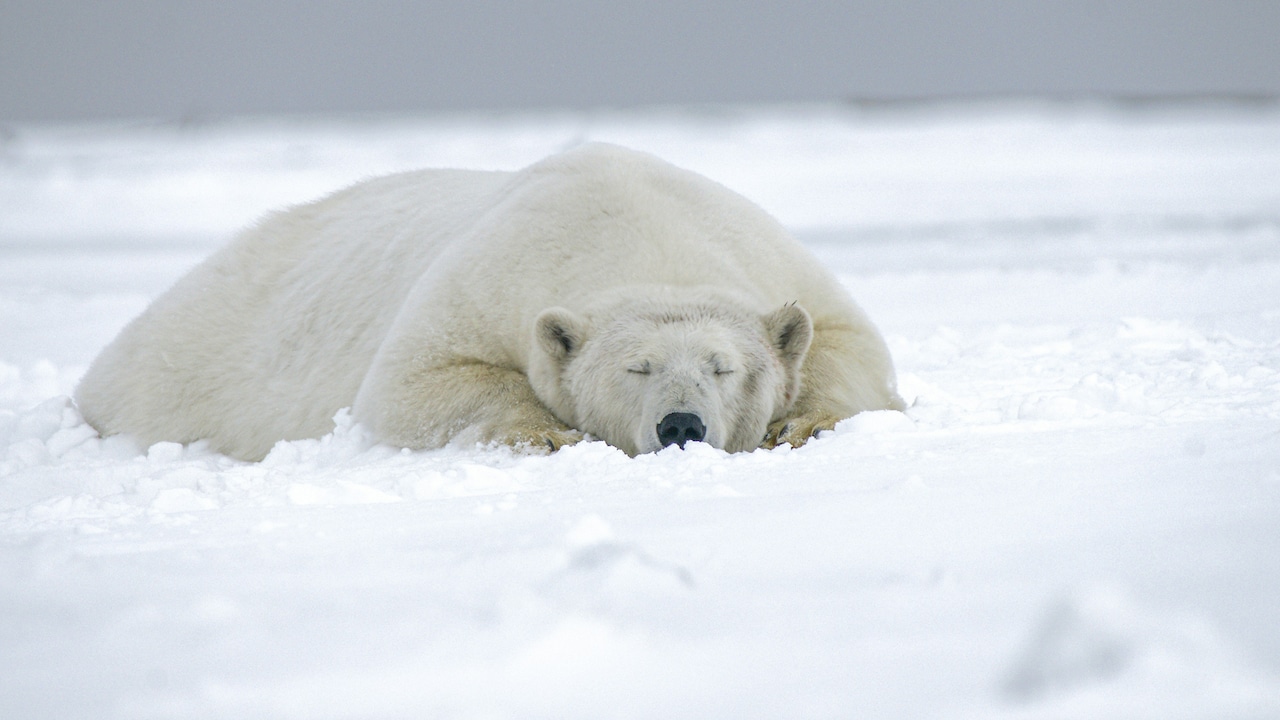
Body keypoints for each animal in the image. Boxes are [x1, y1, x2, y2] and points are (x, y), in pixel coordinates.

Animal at [75, 143, 904, 461]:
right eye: (635, 369)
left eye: (723, 366)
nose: (680, 426)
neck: (638, 228)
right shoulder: (492, 275)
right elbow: (414, 383)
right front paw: (546, 434)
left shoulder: (766, 254)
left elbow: (848, 344)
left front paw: (802, 422)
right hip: (184, 363)